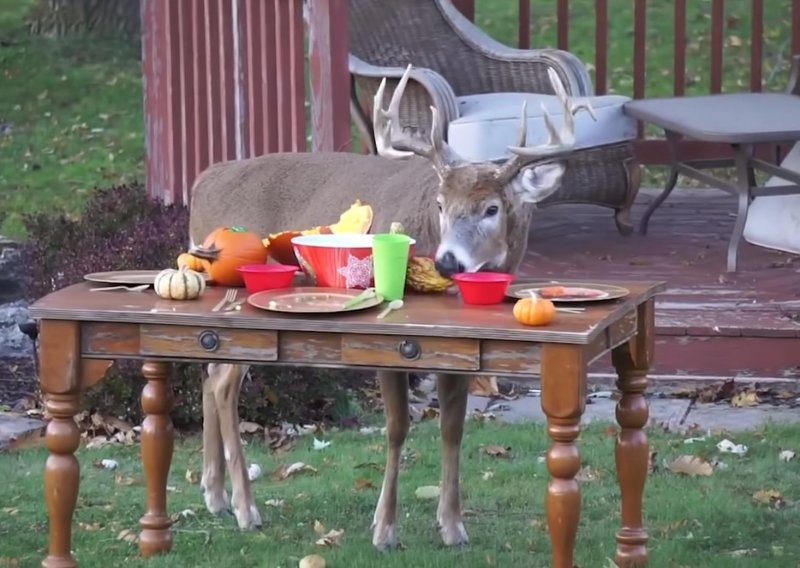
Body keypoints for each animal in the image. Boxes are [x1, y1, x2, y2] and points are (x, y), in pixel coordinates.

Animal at [189, 64, 592, 548]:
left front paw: (453, 526)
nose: (447, 261)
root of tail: (201, 180)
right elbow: (398, 427)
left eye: (492, 208)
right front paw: (384, 529)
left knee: (209, 375)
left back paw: (214, 495)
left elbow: (453, 428)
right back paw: (246, 509)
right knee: (223, 384)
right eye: (440, 204)